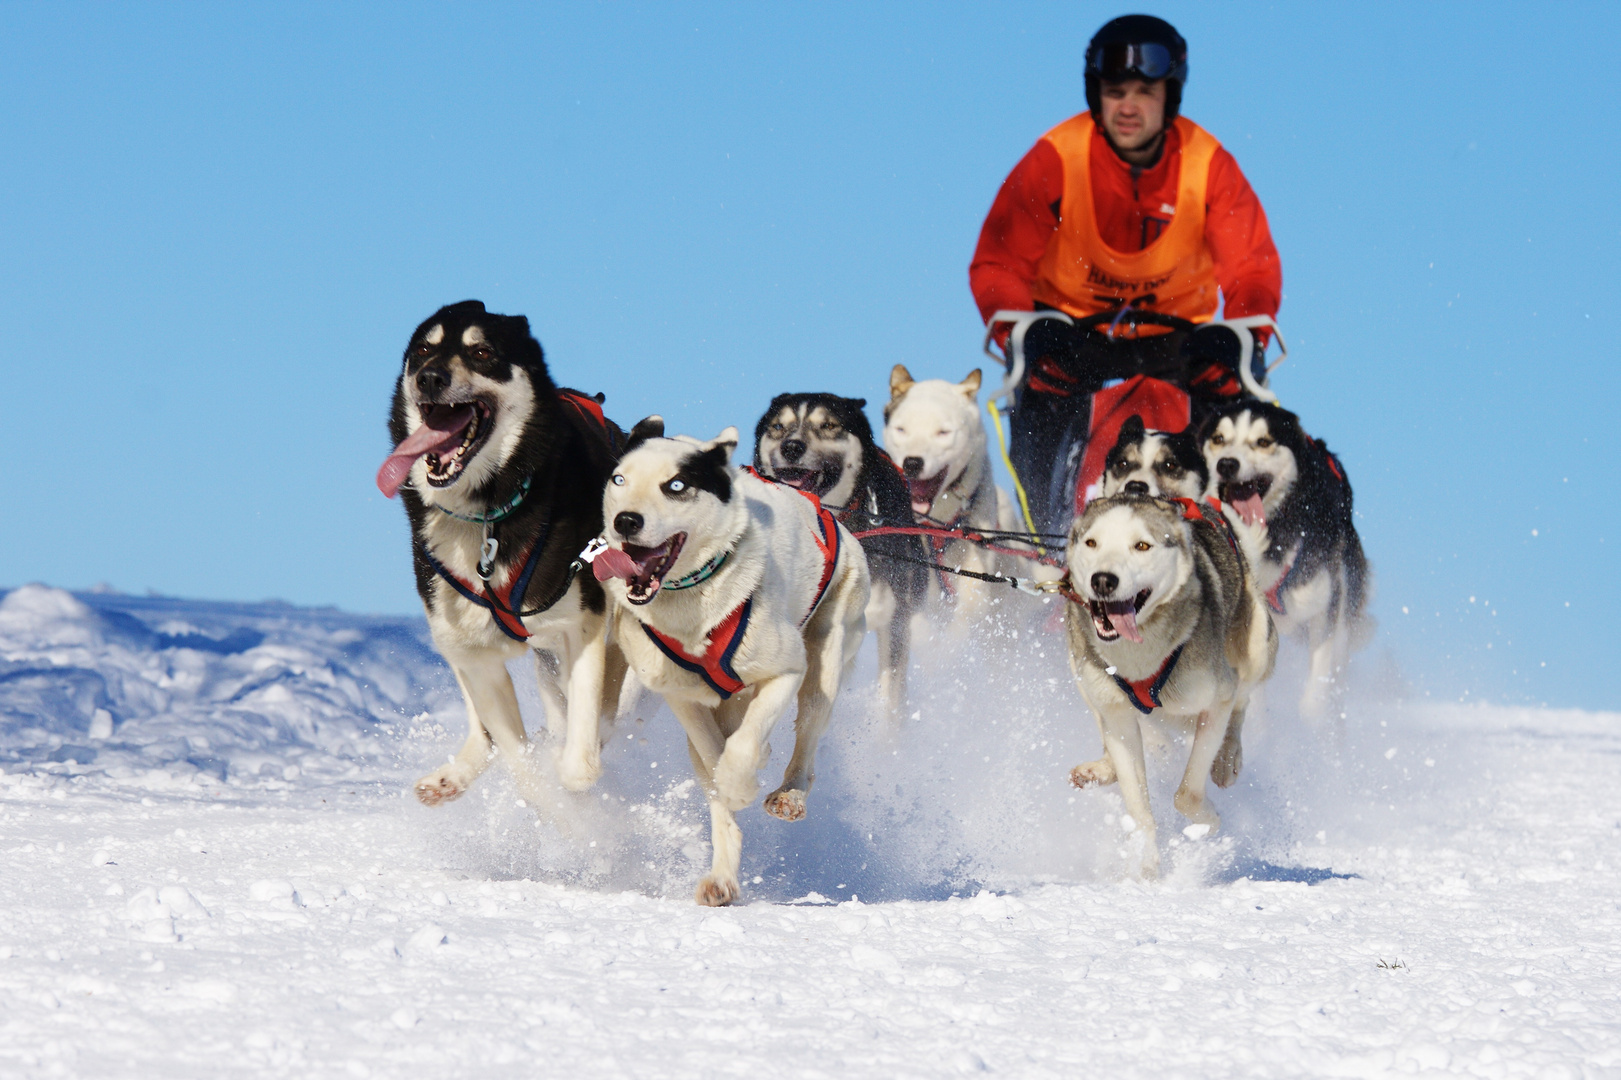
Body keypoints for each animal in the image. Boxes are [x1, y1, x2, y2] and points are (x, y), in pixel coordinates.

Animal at [593, 418, 868, 901]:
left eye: (676, 485)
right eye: (619, 479)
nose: (624, 520)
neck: (696, 603)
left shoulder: (785, 671)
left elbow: (742, 748)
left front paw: (745, 779)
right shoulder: (682, 696)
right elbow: (714, 755)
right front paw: (731, 786)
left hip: (825, 661)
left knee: (808, 736)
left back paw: (790, 792)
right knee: (713, 776)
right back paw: (722, 876)